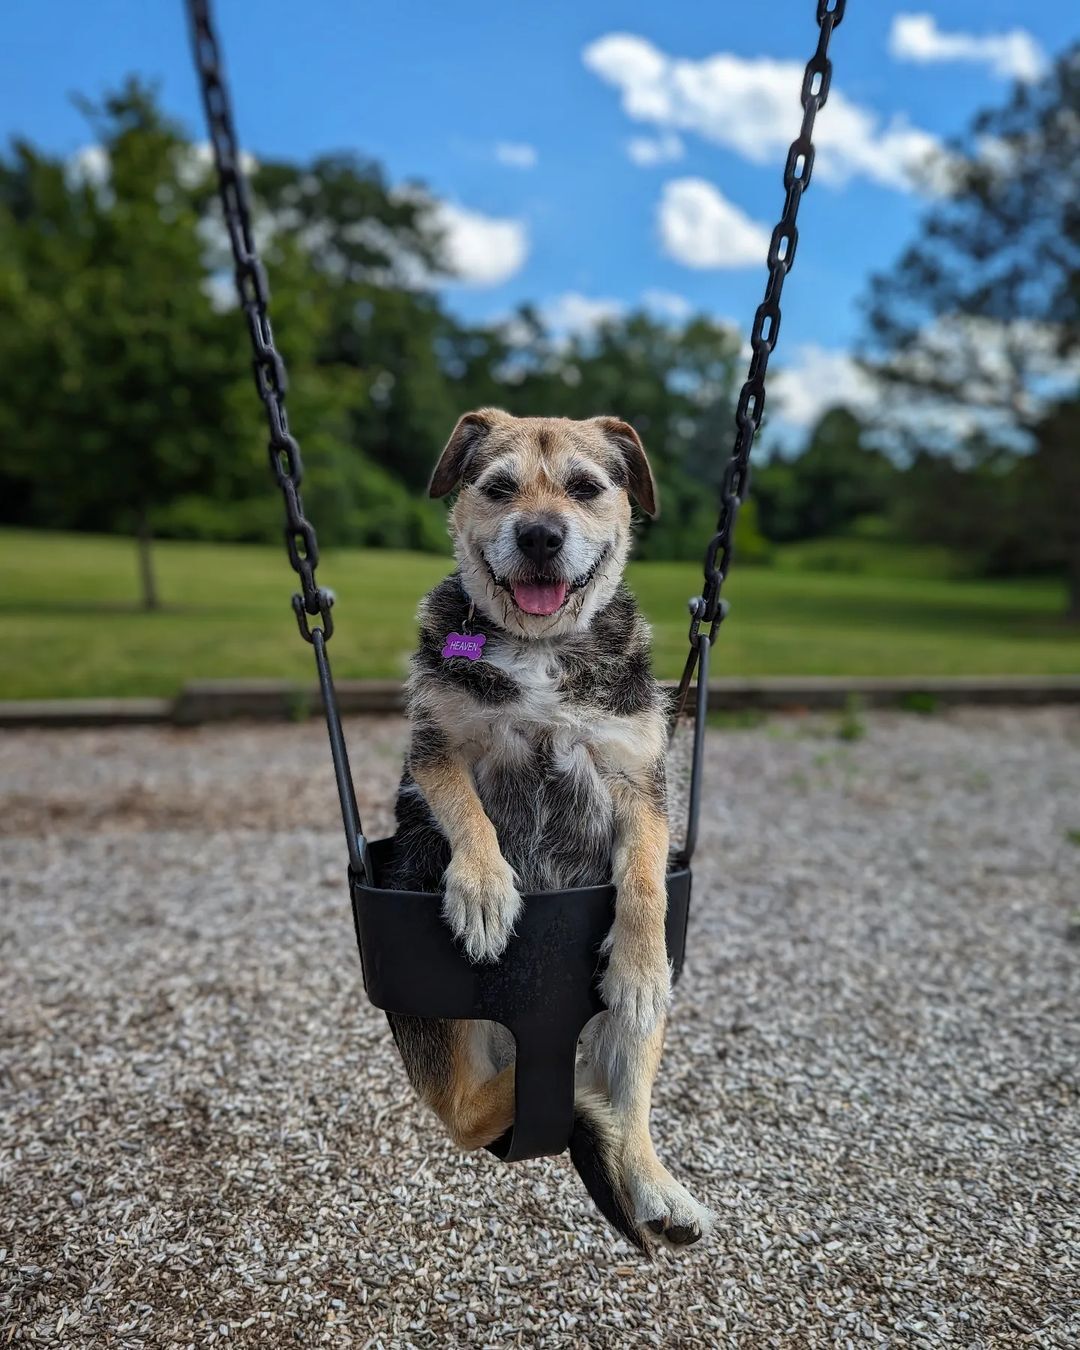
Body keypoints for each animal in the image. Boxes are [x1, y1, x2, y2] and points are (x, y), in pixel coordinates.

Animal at [386, 410, 707, 1252]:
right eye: (499, 489)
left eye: (586, 488)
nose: (538, 535)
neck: (540, 648)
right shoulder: (437, 747)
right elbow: (466, 809)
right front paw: (484, 891)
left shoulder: (641, 779)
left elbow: (644, 875)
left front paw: (638, 961)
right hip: (445, 1029)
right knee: (471, 1115)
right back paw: (571, 1100)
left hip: (624, 1036)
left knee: (628, 1100)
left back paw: (653, 1181)